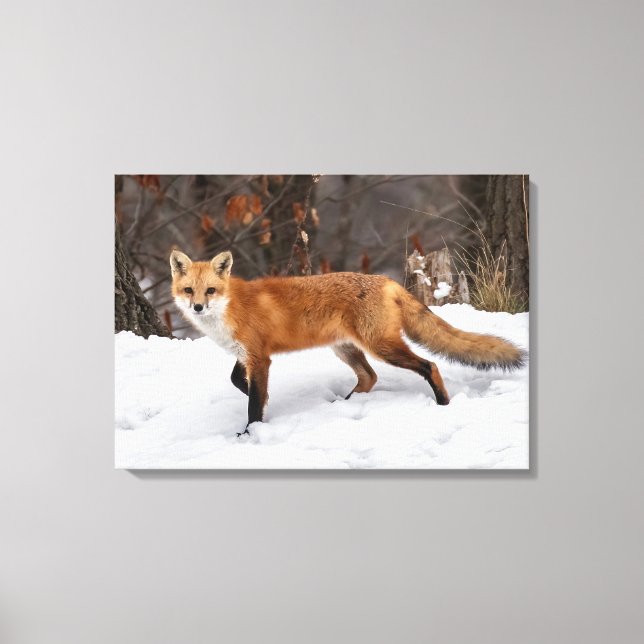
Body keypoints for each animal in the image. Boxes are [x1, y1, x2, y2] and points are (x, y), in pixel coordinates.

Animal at [170, 249, 527, 436]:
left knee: (430, 365)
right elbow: (237, 381)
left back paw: (443, 404)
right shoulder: (248, 355)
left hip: (380, 347)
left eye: (210, 290)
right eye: (189, 290)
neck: (229, 308)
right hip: (345, 348)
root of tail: (387, 280)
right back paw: (345, 405)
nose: (197, 307)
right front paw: (263, 401)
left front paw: (250, 434)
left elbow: (254, 403)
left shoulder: (259, 358)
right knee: (369, 377)